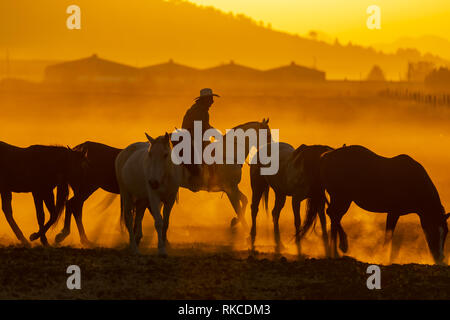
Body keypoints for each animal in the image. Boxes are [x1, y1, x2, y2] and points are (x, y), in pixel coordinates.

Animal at [302, 145, 450, 264]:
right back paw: (340, 248)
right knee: (333, 215)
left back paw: (335, 252)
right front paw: (384, 258)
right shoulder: (393, 212)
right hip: (342, 198)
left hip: (339, 198)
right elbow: (388, 236)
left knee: (333, 217)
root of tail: (326, 157)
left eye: (446, 232)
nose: (439, 258)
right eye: (432, 230)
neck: (413, 181)